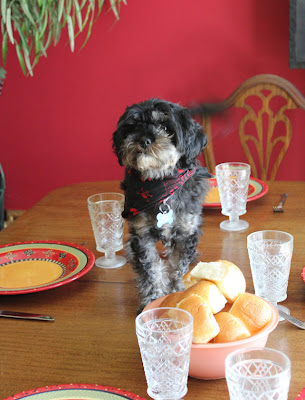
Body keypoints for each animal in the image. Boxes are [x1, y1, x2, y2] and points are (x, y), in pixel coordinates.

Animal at [113, 98, 210, 310]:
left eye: (166, 127)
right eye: (133, 126)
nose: (144, 140)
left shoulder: (186, 232)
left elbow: (177, 265)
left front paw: (176, 291)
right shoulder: (142, 235)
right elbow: (151, 269)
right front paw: (153, 297)